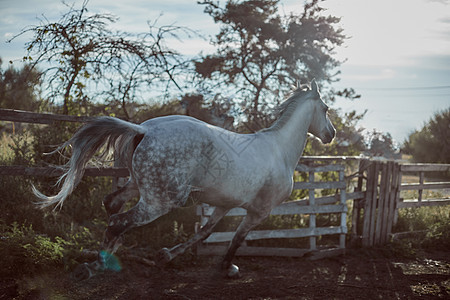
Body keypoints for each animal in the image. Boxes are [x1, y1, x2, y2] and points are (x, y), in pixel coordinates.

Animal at [33, 78, 334, 278]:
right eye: (327, 108)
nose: (330, 135)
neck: (279, 150)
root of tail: (144, 130)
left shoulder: (223, 204)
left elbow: (204, 233)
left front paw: (165, 256)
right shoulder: (259, 211)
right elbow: (236, 238)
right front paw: (228, 267)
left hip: (137, 186)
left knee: (112, 204)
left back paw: (110, 254)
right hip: (161, 201)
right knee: (119, 221)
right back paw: (95, 265)